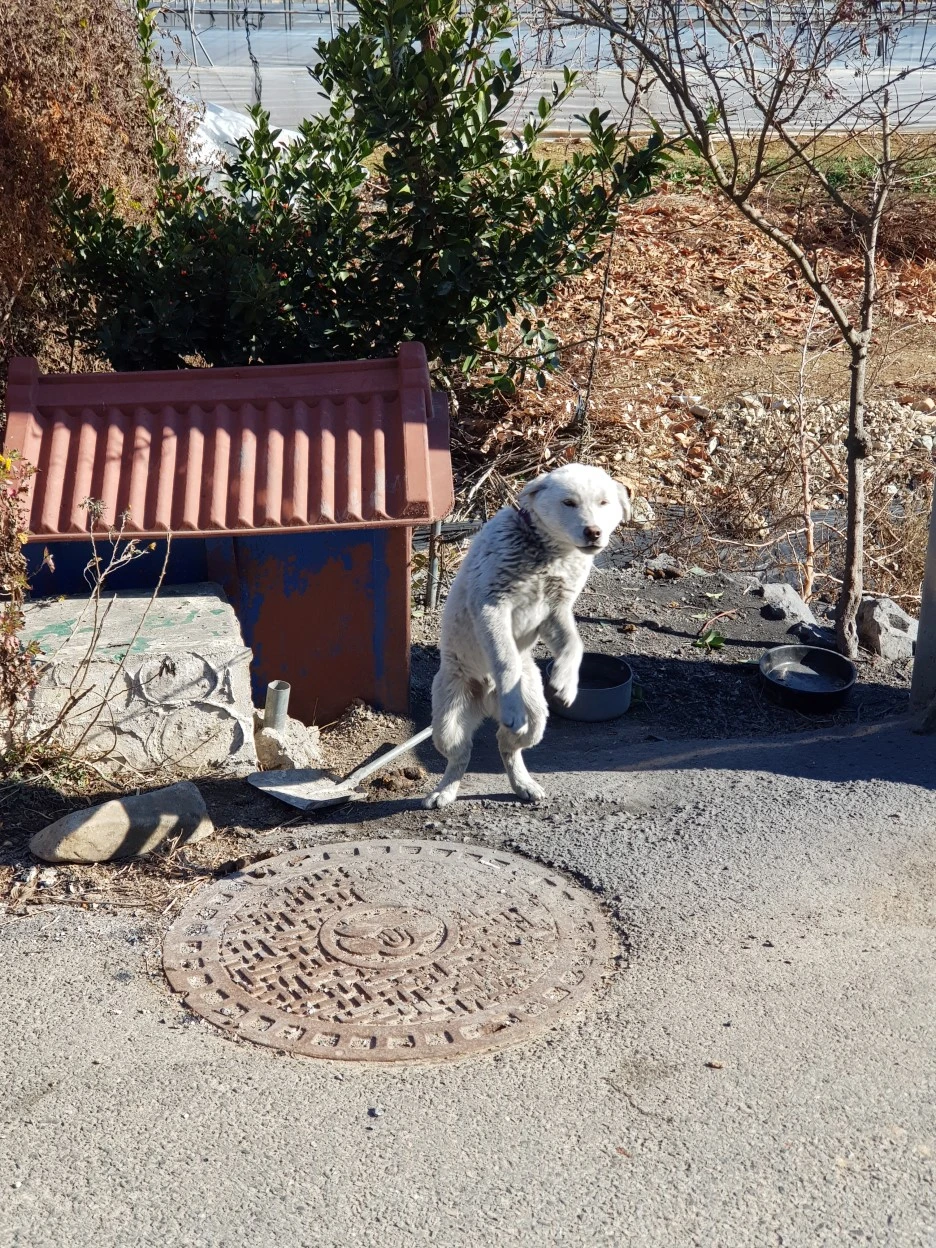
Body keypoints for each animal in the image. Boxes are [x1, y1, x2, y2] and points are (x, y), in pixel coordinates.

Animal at [424, 463, 631, 808]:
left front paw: (565, 683)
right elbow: (506, 659)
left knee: (508, 744)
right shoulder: (492, 606)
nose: (593, 532)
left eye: (604, 503)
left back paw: (524, 784)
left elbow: (574, 644)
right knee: (460, 753)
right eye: (569, 503)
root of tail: (486, 701)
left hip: (536, 713)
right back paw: (445, 791)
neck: (549, 554)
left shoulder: (555, 610)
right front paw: (513, 706)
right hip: (448, 713)